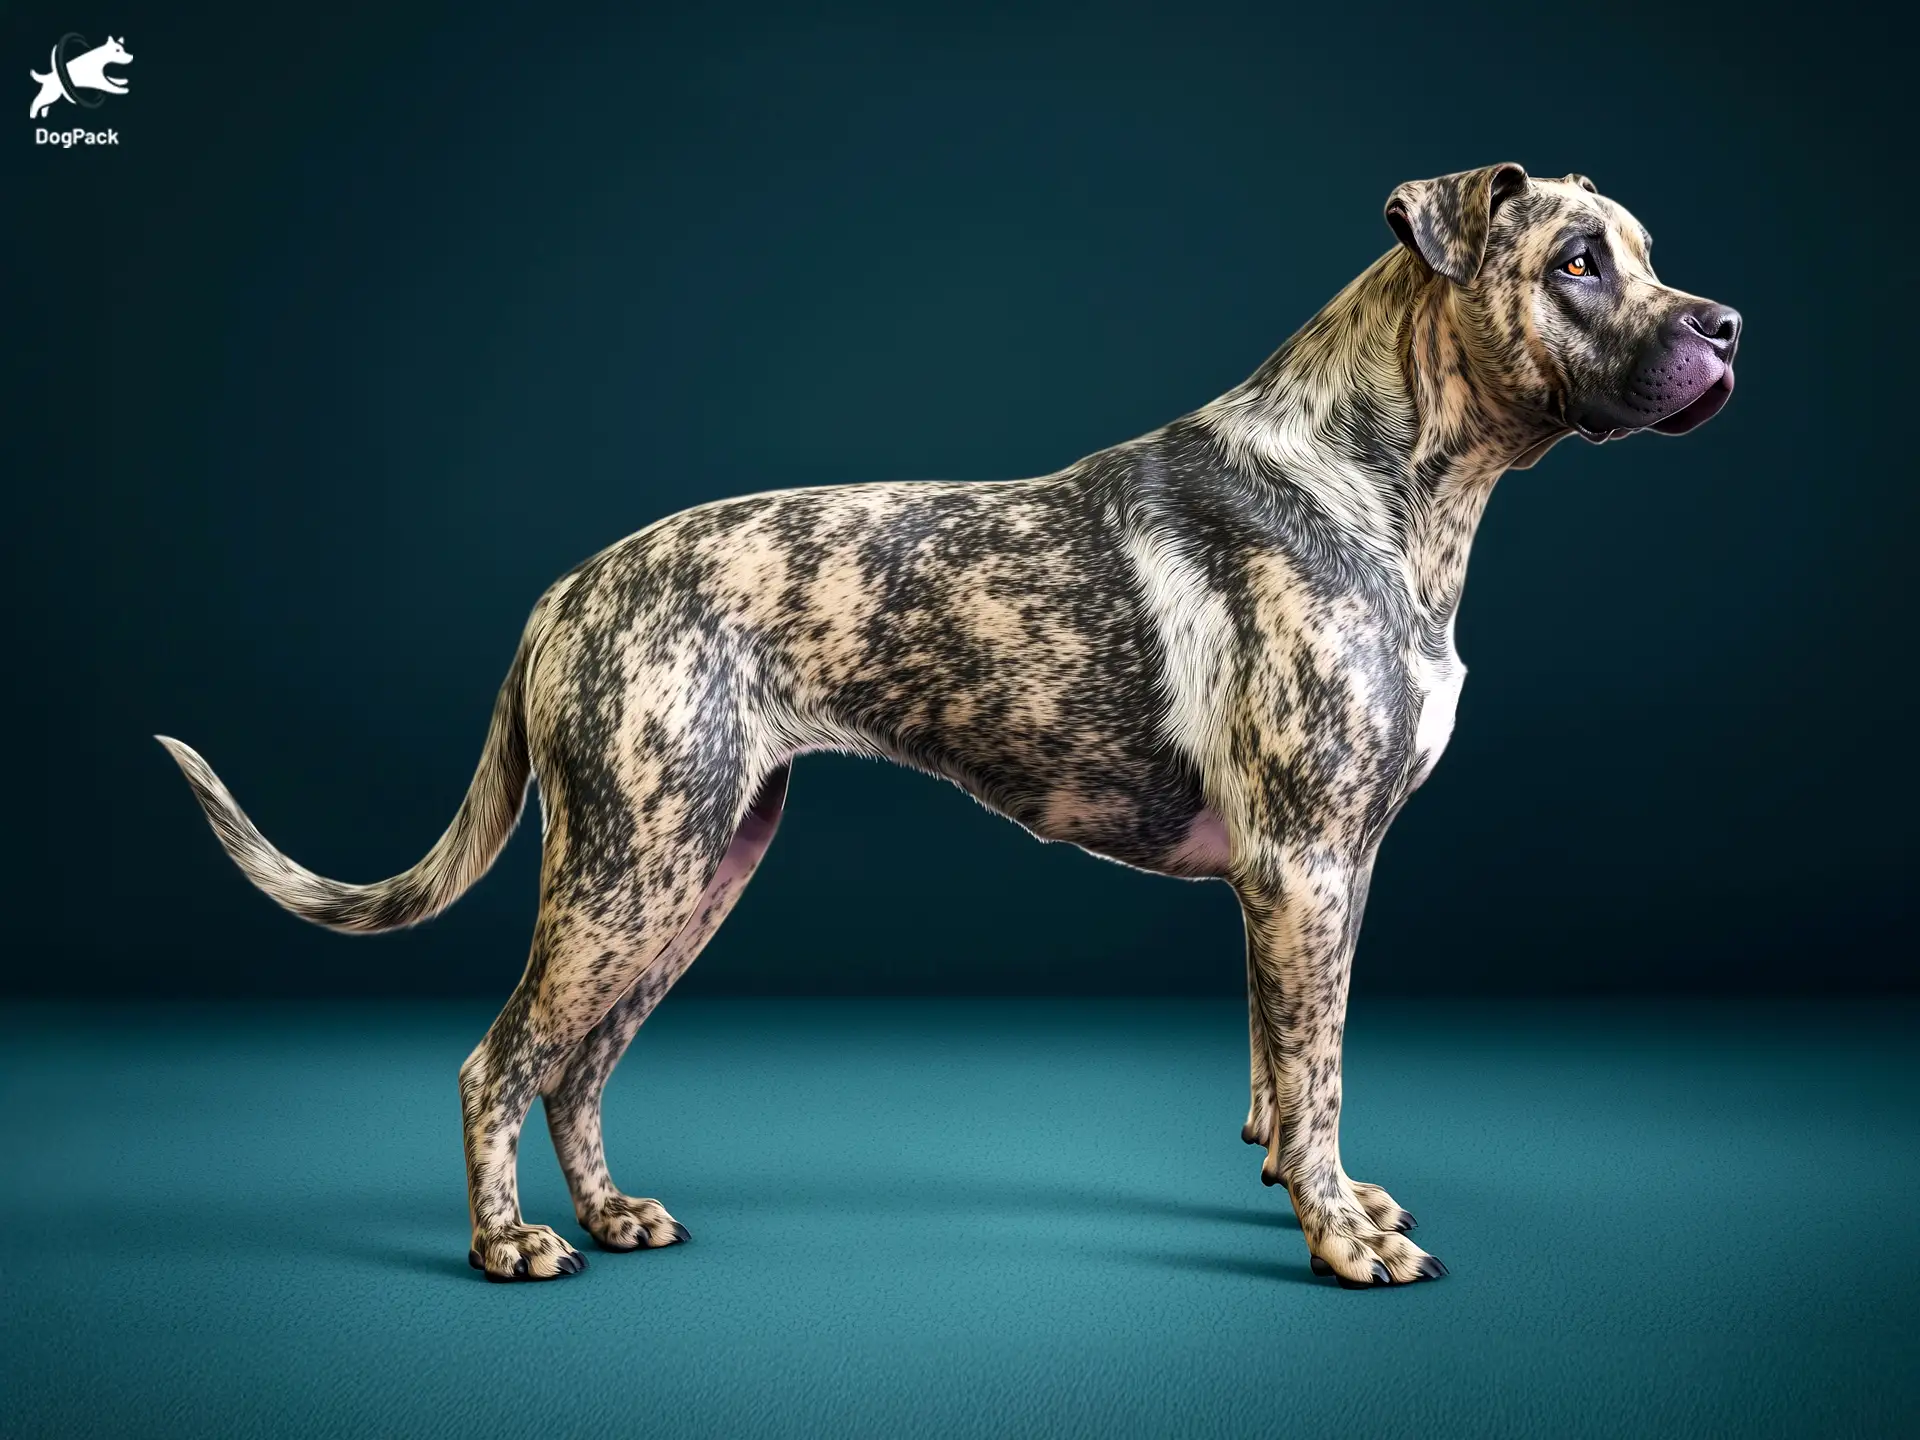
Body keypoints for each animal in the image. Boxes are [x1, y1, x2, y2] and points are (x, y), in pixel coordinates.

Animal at [161, 163, 1743, 1290]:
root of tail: (567, 589)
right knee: (501, 1065)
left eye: (1648, 249)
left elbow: (1286, 1081)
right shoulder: (1305, 868)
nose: (1726, 326)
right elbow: (1318, 1078)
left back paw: (611, 1216)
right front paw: (1348, 1243)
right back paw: (509, 1247)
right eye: (1577, 262)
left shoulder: (1307, 880)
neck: (1381, 480)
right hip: (630, 871)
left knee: (578, 1072)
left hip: (692, 875)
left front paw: (1323, 1201)